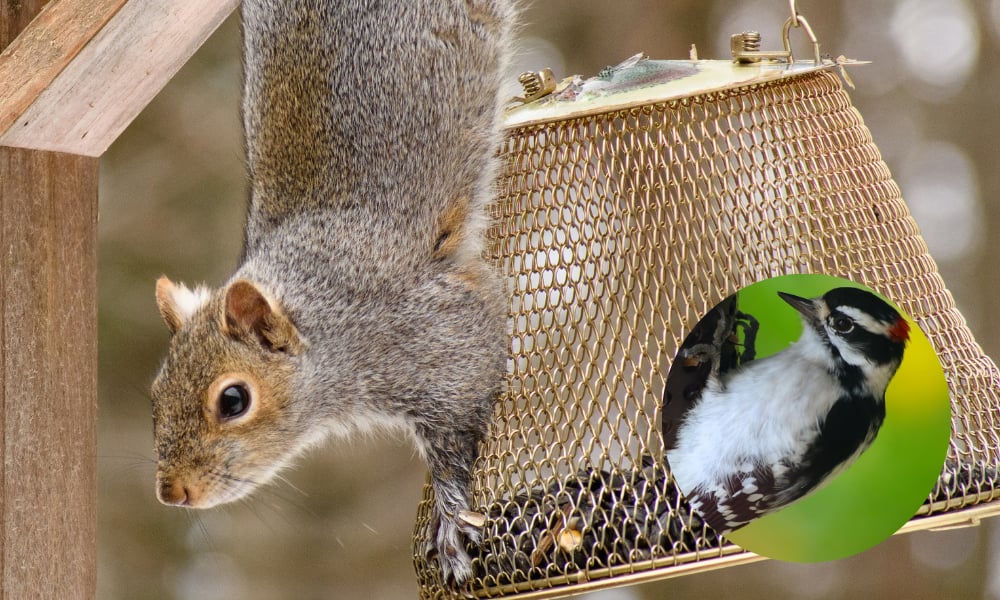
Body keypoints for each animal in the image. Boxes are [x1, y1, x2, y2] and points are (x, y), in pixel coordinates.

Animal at [153, 0, 520, 584]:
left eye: (233, 400)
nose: (173, 493)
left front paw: (450, 519)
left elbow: (459, 419)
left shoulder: (439, 333)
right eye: (156, 393)